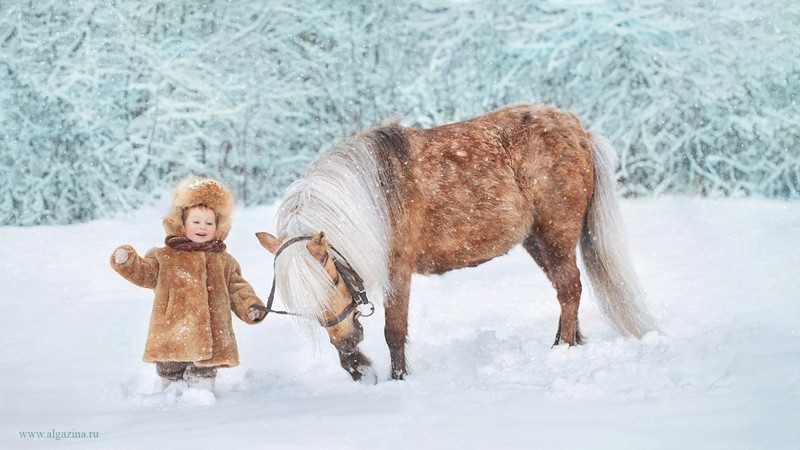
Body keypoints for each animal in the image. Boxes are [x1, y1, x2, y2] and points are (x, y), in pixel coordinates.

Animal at [260, 104, 660, 384]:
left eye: (332, 281)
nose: (347, 347)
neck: (376, 199)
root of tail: (581, 132)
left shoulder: (397, 270)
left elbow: (394, 332)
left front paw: (396, 380)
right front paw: (361, 370)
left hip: (555, 233)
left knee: (569, 288)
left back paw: (561, 349)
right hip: (536, 241)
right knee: (567, 291)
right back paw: (570, 343)